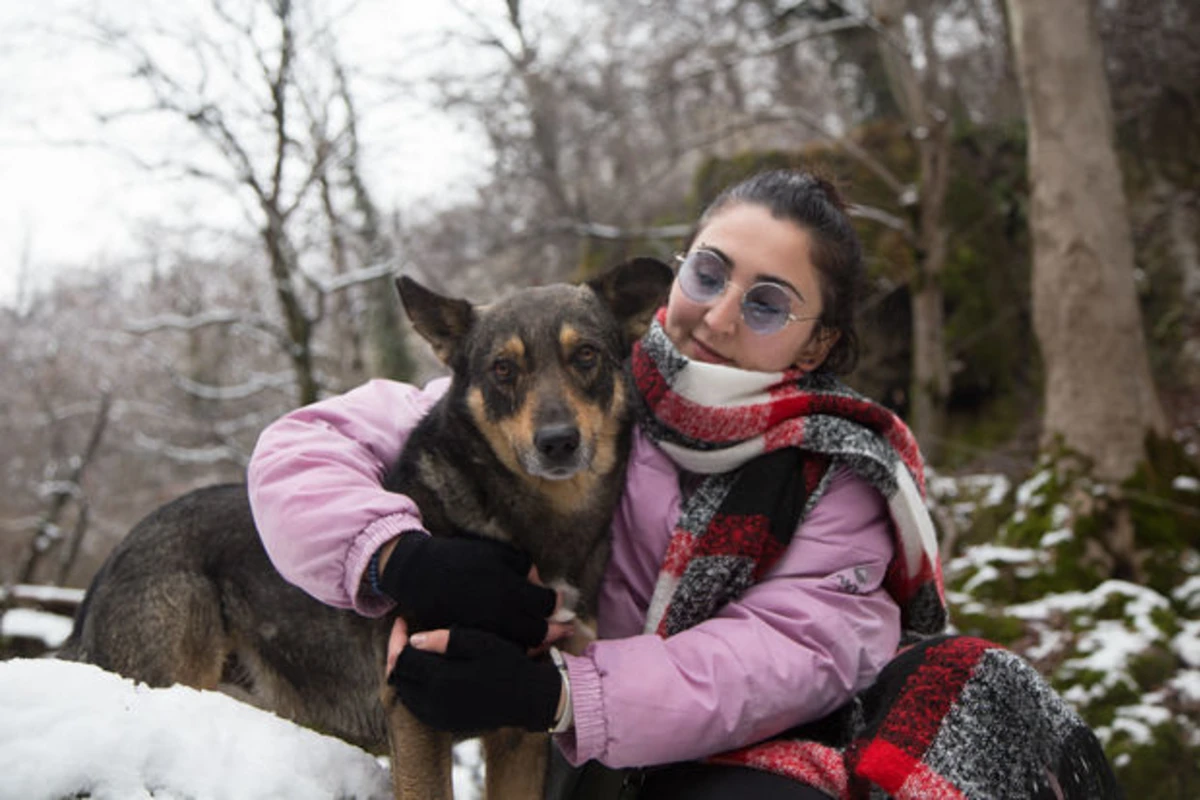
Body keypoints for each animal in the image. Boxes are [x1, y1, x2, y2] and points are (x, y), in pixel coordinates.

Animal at [60, 257, 676, 800]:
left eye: (586, 355)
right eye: (503, 369)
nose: (557, 442)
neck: (534, 522)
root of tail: (108, 568)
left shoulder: (518, 717)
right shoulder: (418, 703)